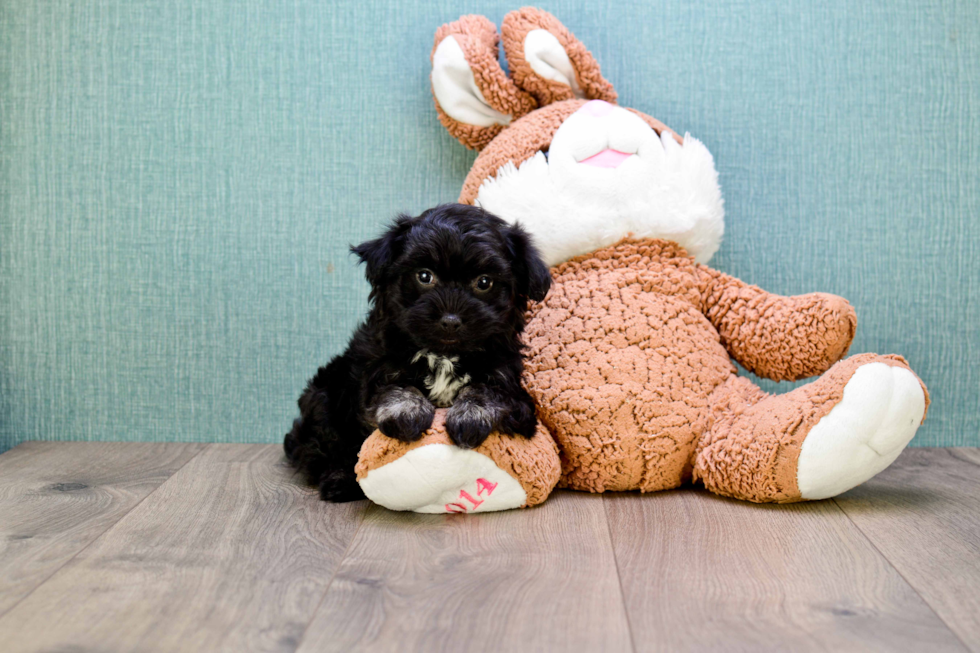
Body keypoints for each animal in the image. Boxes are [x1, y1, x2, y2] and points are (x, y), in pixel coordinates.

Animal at [288, 202, 556, 500]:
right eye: (424, 276)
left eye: (484, 282)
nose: (450, 320)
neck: (443, 355)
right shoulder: (375, 367)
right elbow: (391, 387)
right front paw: (406, 411)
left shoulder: (514, 391)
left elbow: (488, 389)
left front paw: (471, 415)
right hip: (323, 394)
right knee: (324, 445)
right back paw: (340, 480)